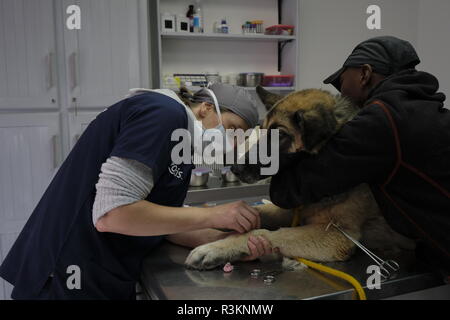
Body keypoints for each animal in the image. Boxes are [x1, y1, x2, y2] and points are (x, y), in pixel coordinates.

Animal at [184, 86, 414, 268]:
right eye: (263, 130)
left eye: (280, 135)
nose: (235, 168)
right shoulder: (295, 210)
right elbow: (259, 211)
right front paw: (227, 218)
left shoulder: (335, 236)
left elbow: (266, 233)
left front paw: (216, 248)